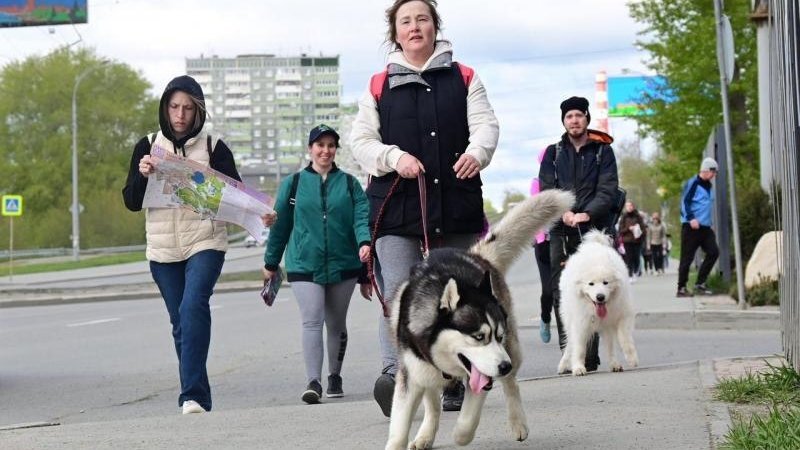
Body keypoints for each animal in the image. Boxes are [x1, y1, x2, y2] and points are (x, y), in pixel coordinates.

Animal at [382, 190, 576, 450]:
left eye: (498, 336)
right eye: (478, 337)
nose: (504, 366)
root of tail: (475, 255)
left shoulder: (483, 374)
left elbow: (467, 419)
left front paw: (460, 435)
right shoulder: (412, 375)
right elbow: (400, 428)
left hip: (513, 350)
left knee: (511, 385)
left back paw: (518, 423)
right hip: (427, 372)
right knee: (432, 403)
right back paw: (425, 435)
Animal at [556, 230, 636, 374]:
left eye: (606, 282)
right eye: (591, 284)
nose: (600, 297)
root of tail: (594, 244)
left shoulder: (623, 315)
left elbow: (624, 338)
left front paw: (632, 359)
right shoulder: (580, 323)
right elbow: (579, 348)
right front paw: (578, 368)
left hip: (607, 326)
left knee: (610, 346)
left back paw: (615, 364)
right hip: (570, 319)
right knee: (570, 344)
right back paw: (563, 365)